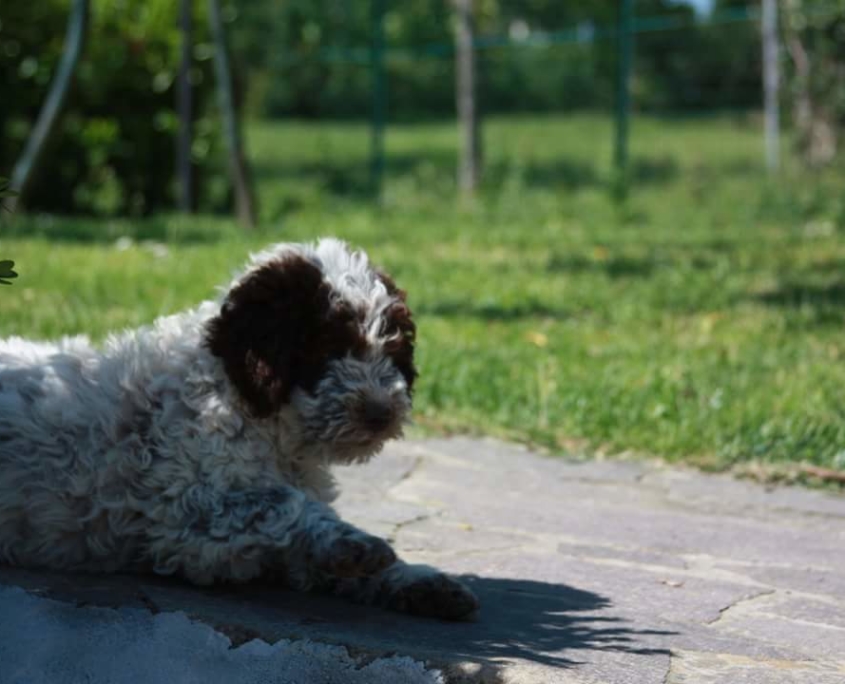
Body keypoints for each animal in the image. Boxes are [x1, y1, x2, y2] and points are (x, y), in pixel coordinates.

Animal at [0, 239, 474, 620]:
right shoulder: (188, 519)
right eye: (328, 349)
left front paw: (419, 581)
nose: (381, 412)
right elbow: (282, 504)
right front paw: (353, 542)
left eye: (393, 350)